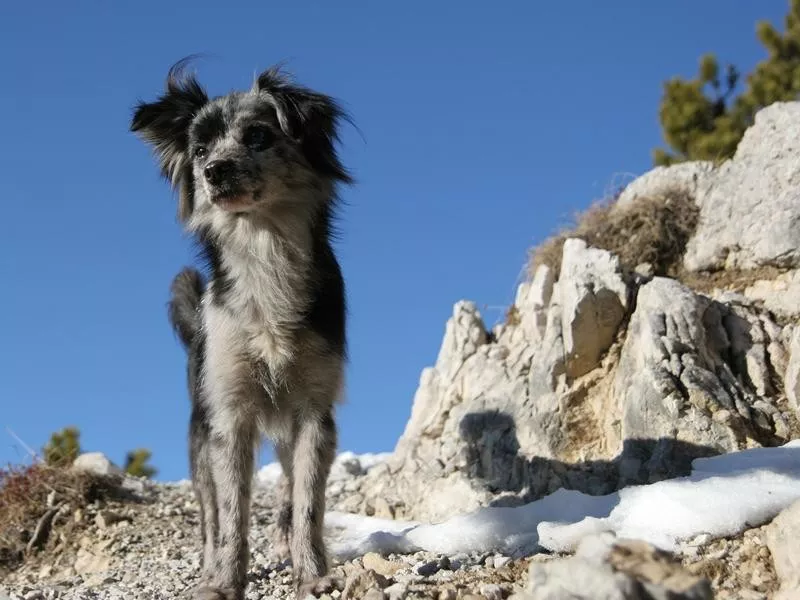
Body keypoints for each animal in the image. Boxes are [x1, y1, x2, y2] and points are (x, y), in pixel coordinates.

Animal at [130, 57, 352, 600]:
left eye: (257, 136)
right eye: (199, 151)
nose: (215, 170)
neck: (264, 251)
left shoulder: (314, 412)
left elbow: (308, 503)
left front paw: (312, 573)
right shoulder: (229, 417)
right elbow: (232, 514)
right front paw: (223, 581)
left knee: (290, 494)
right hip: (200, 435)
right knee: (211, 515)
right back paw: (211, 562)